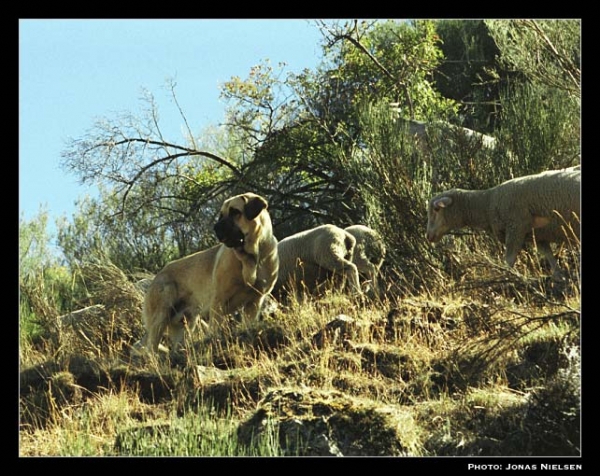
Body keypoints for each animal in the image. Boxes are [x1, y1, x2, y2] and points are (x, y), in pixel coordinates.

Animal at [137, 191, 278, 354]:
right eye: (221, 215)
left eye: (235, 212)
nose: (215, 228)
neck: (249, 259)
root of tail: (157, 275)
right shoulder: (219, 302)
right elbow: (215, 331)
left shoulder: (254, 302)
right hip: (160, 316)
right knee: (151, 349)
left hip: (184, 325)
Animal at [426, 169, 580, 278]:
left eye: (436, 209)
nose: (428, 236)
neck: (487, 203)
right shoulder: (537, 234)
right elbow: (549, 256)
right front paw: (559, 275)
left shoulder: (515, 228)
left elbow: (509, 260)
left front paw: (507, 276)